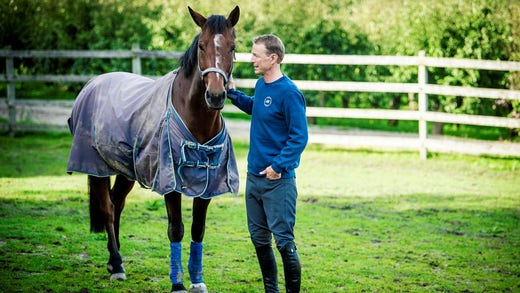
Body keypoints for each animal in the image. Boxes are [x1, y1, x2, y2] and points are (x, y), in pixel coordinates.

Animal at [66, 6, 241, 292]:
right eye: (201, 46)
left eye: (232, 46)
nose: (215, 96)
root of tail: (93, 84)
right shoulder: (170, 183)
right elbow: (176, 229)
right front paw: (178, 285)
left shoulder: (209, 184)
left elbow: (198, 229)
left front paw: (197, 282)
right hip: (97, 167)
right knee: (107, 208)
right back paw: (117, 266)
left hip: (126, 170)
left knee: (117, 204)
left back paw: (114, 261)